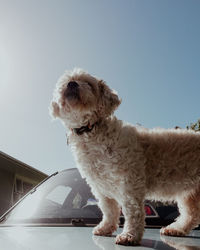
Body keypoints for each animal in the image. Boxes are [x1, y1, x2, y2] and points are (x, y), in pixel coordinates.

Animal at [49, 68, 200, 246]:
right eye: (65, 81)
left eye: (88, 83)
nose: (72, 83)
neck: (91, 130)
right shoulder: (100, 184)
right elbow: (108, 208)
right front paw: (106, 228)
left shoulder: (130, 179)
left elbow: (132, 209)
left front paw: (130, 235)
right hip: (191, 191)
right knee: (191, 214)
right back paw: (176, 229)